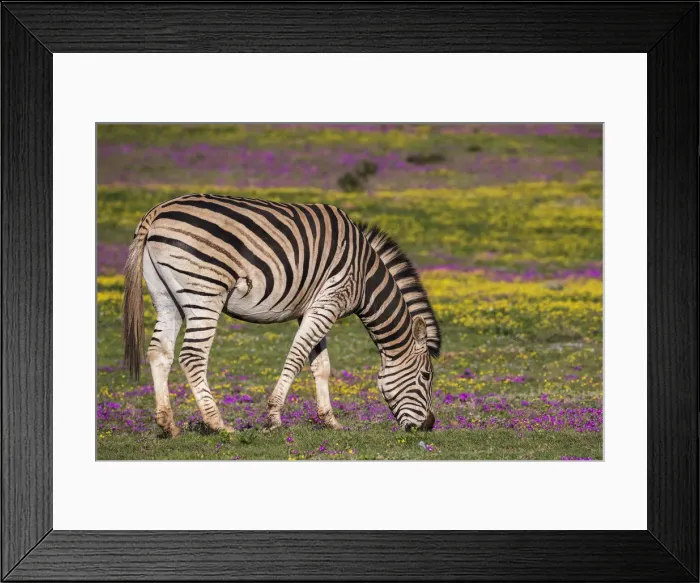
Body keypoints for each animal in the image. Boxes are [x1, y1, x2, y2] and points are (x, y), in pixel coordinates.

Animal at [122, 193, 441, 436]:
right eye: (427, 376)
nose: (428, 425)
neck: (364, 277)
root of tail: (157, 211)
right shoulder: (330, 301)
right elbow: (297, 358)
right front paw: (273, 417)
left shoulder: (313, 307)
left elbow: (321, 365)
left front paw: (330, 420)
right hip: (205, 290)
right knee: (192, 356)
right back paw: (218, 425)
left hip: (166, 297)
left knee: (159, 352)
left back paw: (168, 425)